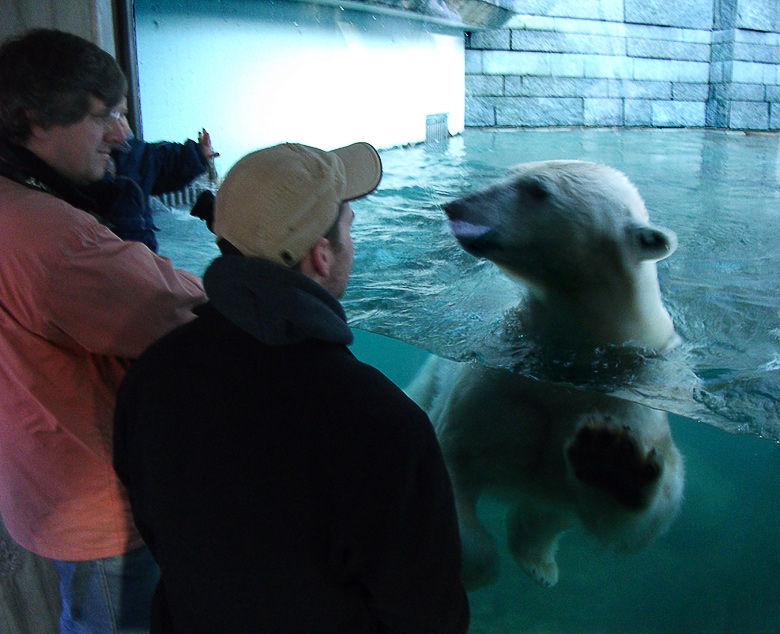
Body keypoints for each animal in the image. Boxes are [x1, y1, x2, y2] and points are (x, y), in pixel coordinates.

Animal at [408, 162, 684, 588]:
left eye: (537, 190)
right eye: (511, 172)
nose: (456, 205)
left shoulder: (634, 395)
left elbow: (633, 524)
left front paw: (613, 459)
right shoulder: (494, 387)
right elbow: (454, 457)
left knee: (552, 509)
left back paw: (538, 560)